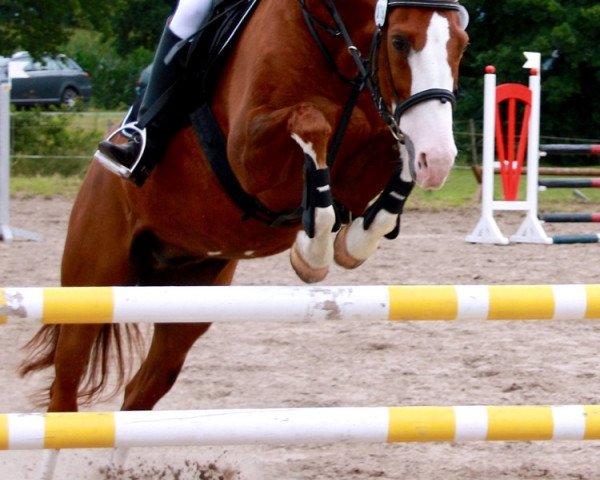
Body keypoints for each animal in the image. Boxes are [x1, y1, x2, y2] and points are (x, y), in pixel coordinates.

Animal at [21, 0, 468, 472]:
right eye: (399, 41)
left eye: (462, 43)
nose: (440, 158)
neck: (333, 40)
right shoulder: (248, 153)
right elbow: (315, 123)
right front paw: (313, 248)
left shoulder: (378, 130)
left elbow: (392, 150)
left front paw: (350, 241)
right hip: (91, 284)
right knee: (64, 397)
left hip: (188, 301)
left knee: (140, 394)